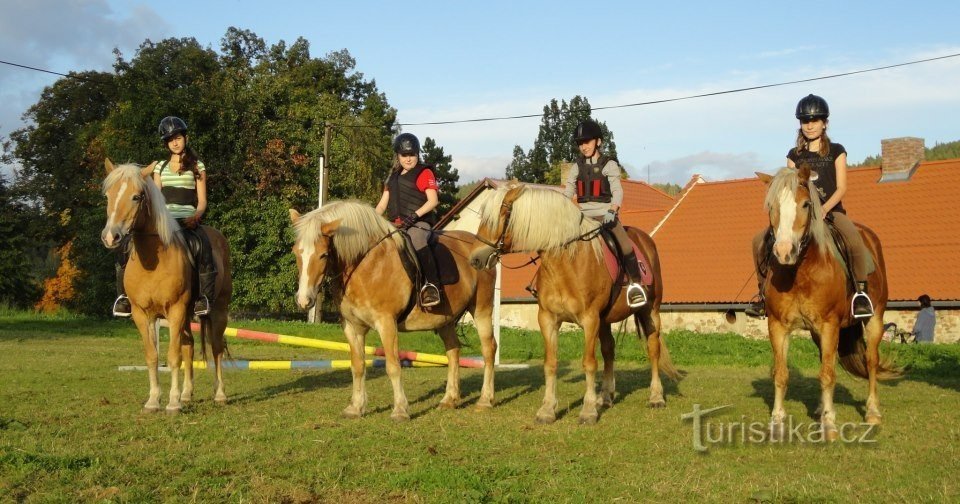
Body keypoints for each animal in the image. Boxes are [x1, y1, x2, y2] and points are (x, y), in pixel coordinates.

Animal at [101, 158, 234, 414]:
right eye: (108, 195)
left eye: (136, 196)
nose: (111, 237)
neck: (153, 261)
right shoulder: (142, 314)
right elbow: (153, 356)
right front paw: (154, 401)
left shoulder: (175, 309)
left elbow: (173, 357)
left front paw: (172, 403)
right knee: (189, 345)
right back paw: (187, 394)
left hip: (217, 310)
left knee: (216, 348)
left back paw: (220, 394)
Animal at [288, 201, 498, 422]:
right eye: (296, 252)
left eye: (324, 254)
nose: (304, 300)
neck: (365, 265)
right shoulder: (353, 327)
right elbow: (358, 366)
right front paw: (355, 407)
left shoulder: (386, 323)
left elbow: (393, 366)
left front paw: (400, 410)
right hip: (445, 320)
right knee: (453, 351)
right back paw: (449, 399)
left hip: (481, 310)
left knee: (488, 349)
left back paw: (485, 400)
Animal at [464, 182, 676, 426]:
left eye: (500, 216)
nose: (475, 259)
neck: (565, 263)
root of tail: (645, 240)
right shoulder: (548, 319)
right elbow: (550, 363)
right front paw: (547, 409)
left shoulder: (590, 319)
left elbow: (589, 363)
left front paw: (588, 411)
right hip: (605, 320)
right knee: (609, 350)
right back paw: (605, 397)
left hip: (650, 311)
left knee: (653, 349)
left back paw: (656, 397)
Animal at [756, 166, 900, 440]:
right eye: (770, 206)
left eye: (805, 204)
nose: (784, 252)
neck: (799, 272)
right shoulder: (778, 326)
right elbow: (781, 374)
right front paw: (777, 423)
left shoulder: (829, 325)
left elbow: (828, 375)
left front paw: (829, 425)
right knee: (827, 358)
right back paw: (821, 408)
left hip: (874, 319)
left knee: (870, 361)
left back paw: (872, 412)